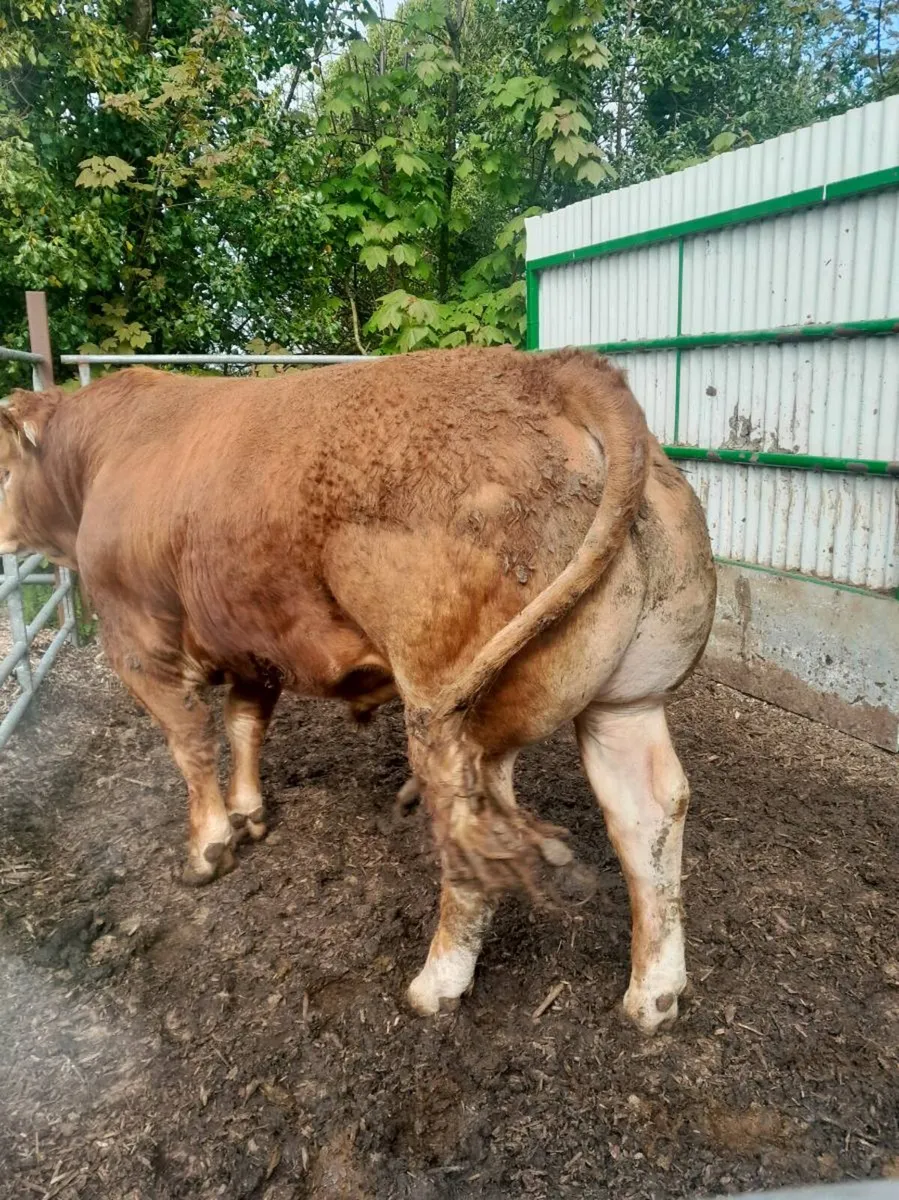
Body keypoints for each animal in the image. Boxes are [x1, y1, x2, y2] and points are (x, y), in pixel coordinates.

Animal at [0, 346, 716, 1032]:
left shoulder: (137, 636)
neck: (99, 456)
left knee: (476, 833)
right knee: (649, 812)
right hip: (629, 697)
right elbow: (244, 724)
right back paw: (654, 996)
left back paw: (435, 985)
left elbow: (190, 740)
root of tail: (555, 371)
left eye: (3, 465)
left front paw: (208, 848)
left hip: (454, 713)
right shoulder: (254, 643)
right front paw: (250, 814)